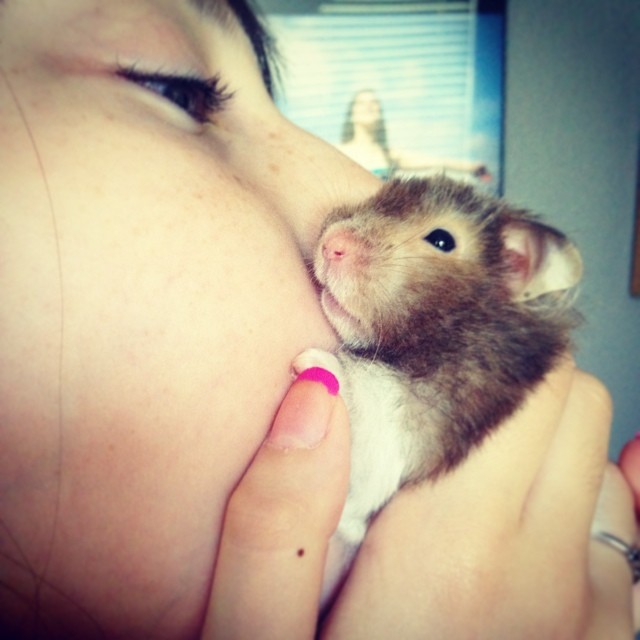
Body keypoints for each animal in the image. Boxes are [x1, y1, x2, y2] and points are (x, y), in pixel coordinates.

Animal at [293, 175, 583, 609]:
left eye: (443, 240)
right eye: (385, 193)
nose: (331, 243)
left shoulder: (414, 435)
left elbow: (368, 397)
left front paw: (311, 364)